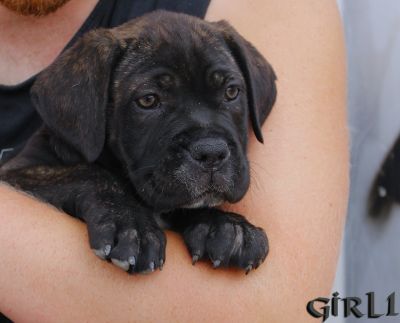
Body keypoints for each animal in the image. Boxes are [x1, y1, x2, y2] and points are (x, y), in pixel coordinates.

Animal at [0, 10, 276, 274]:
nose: (211, 153)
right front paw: (131, 226)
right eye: (148, 100)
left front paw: (226, 226)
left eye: (231, 92)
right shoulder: (18, 172)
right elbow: (87, 173)